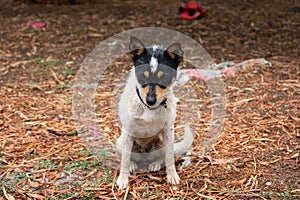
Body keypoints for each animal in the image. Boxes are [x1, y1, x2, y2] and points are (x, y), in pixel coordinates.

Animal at [115, 36, 195, 190]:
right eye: (142, 77)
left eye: (164, 78)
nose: (151, 100)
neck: (149, 109)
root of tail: (145, 156)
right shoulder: (128, 131)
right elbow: (125, 160)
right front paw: (123, 179)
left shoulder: (169, 131)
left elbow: (169, 157)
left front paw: (172, 175)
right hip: (120, 141)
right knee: (127, 156)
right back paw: (133, 165)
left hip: (163, 141)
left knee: (163, 156)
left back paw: (156, 164)